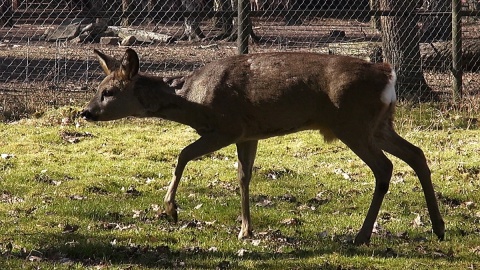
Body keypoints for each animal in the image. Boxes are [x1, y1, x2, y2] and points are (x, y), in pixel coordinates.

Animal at [80, 48, 444, 245]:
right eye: (98, 87)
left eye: (109, 91)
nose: (86, 112)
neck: (192, 100)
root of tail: (387, 74)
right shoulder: (248, 134)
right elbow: (244, 177)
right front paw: (245, 229)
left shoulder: (227, 126)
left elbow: (182, 154)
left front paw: (170, 209)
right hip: (379, 124)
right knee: (417, 154)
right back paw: (438, 227)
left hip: (353, 124)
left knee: (385, 167)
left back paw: (361, 235)